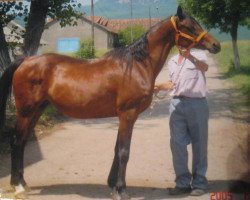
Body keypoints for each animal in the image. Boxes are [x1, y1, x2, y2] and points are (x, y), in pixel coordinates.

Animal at [0, 6, 219, 200]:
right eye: (190, 27)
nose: (216, 45)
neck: (137, 65)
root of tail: (26, 60)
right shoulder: (128, 115)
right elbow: (124, 152)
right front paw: (121, 190)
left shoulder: (124, 116)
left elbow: (116, 150)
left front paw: (112, 184)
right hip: (26, 111)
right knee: (16, 141)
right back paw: (18, 186)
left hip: (37, 110)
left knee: (22, 142)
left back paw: (23, 183)